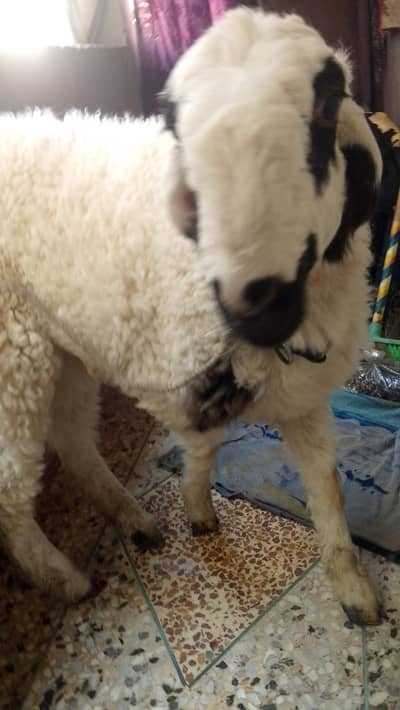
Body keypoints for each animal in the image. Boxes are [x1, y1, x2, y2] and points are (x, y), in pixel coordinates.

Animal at [0, 8, 382, 626]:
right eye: (176, 124)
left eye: (329, 103)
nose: (255, 299)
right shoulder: (179, 376)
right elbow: (203, 447)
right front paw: (199, 511)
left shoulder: (301, 398)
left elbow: (328, 488)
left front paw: (352, 588)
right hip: (14, 360)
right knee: (11, 488)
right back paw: (65, 579)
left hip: (59, 344)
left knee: (74, 443)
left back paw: (133, 520)